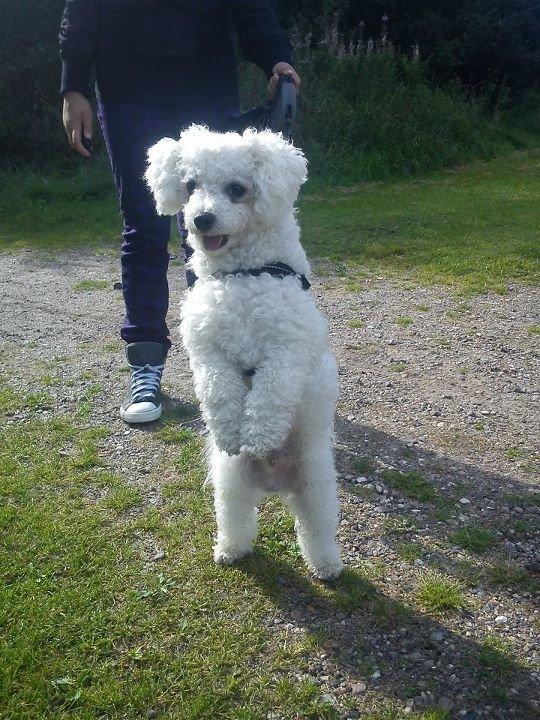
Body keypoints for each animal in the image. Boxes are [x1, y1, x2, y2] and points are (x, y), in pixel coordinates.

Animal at [146, 125, 344, 580]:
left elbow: (270, 394)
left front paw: (257, 434)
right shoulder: (207, 351)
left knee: (317, 525)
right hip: (231, 479)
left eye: (236, 189)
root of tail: (273, 483)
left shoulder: (286, 350)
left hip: (316, 482)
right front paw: (230, 431)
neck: (242, 275)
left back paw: (326, 565)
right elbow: (218, 392)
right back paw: (231, 549)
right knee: (236, 516)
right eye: (190, 186)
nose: (200, 219)